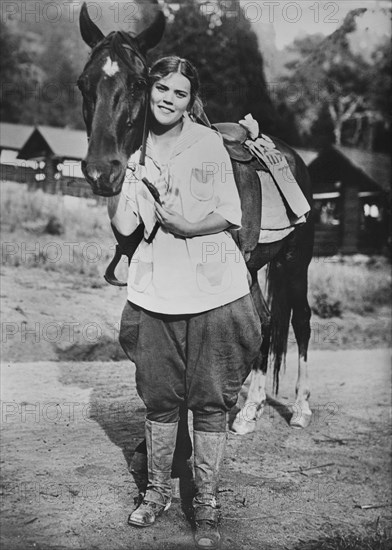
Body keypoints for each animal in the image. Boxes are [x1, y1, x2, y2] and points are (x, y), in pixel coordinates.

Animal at [78, 1, 314, 458]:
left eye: (139, 83)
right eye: (84, 83)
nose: (101, 172)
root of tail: (292, 156)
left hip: (297, 262)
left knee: (302, 322)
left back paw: (300, 409)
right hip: (254, 268)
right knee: (266, 322)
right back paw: (249, 411)